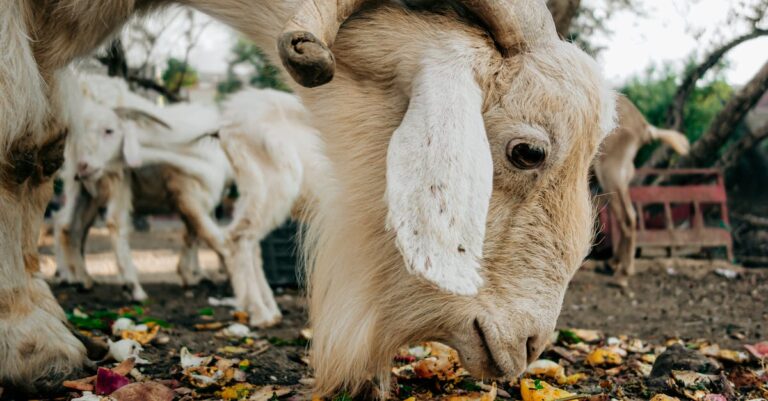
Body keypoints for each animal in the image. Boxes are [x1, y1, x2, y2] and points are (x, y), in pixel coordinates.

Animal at [592, 95, 688, 286]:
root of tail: (643, 128)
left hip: (609, 173)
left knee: (627, 217)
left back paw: (623, 273)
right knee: (628, 216)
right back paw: (613, 263)